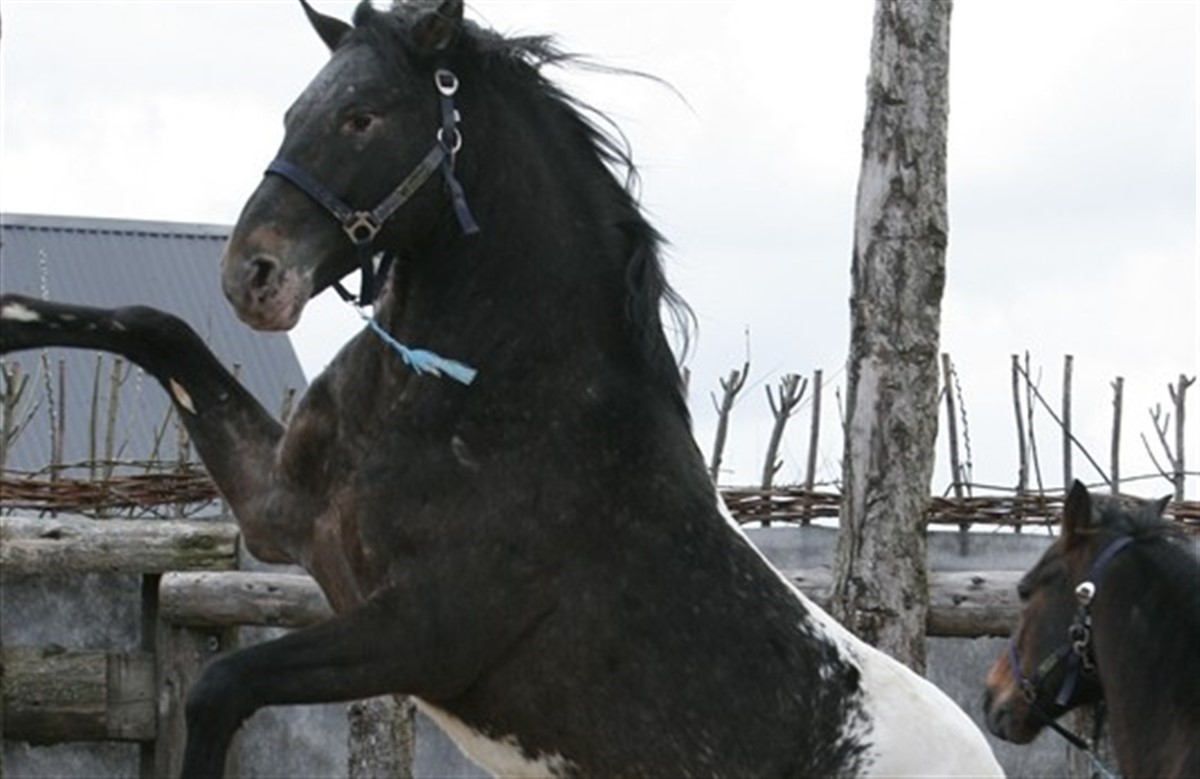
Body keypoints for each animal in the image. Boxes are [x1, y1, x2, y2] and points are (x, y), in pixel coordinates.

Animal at [0, 2, 1004, 776]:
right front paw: (12, 319)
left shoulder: (416, 633)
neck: (482, 401)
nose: (253, 275)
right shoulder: (280, 513)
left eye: (363, 117)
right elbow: (153, 325)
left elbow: (218, 686)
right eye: (294, 110)